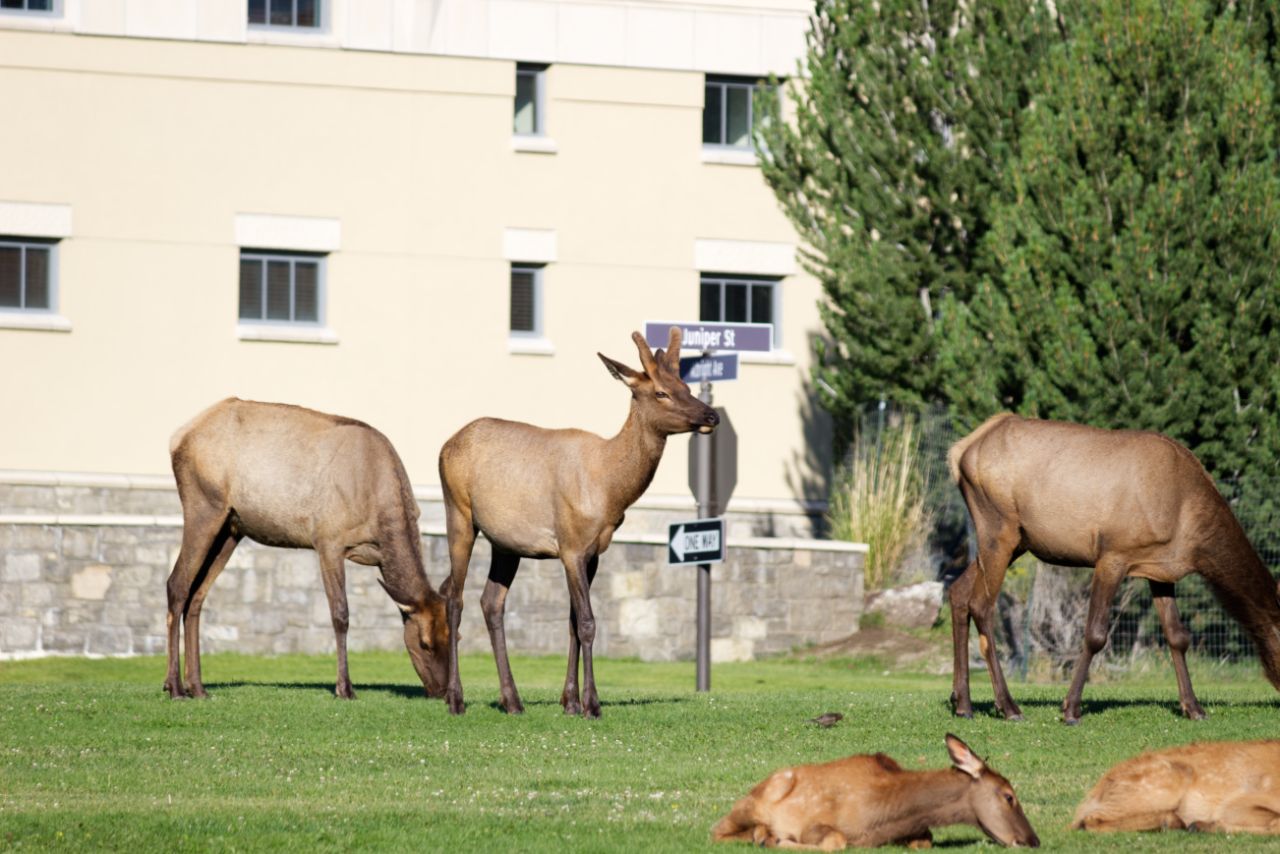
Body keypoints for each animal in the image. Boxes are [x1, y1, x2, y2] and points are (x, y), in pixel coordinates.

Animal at [163, 399, 450, 701]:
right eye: (424, 643)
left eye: (454, 637)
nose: (442, 691)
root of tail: (178, 437)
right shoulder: (328, 540)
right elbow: (340, 614)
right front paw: (344, 688)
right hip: (204, 505)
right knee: (176, 584)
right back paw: (175, 687)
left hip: (231, 528)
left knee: (196, 595)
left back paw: (197, 687)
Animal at [437, 325, 721, 717]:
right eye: (661, 392)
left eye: (687, 387)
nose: (712, 416)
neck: (610, 488)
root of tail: (445, 446)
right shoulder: (570, 544)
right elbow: (587, 622)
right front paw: (592, 704)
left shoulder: (594, 551)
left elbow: (572, 623)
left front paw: (570, 701)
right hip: (459, 512)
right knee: (454, 597)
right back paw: (456, 698)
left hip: (505, 543)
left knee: (490, 601)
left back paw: (512, 700)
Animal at [711, 737, 1039, 850]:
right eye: (1009, 796)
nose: (1032, 840)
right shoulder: (813, 823)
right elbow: (835, 841)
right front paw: (777, 840)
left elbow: (925, 841)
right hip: (755, 802)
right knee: (718, 830)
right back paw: (760, 834)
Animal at [947, 417, 1280, 727]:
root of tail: (960, 451)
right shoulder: (1113, 555)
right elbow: (1095, 634)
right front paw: (1070, 709)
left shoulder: (1159, 570)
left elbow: (1177, 636)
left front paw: (1194, 707)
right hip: (999, 528)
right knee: (981, 605)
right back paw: (1009, 707)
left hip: (1016, 540)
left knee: (958, 592)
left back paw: (962, 703)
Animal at [1070, 742, 1280, 834]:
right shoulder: (1237, 802)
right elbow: (1276, 824)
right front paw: (1206, 825)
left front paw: (1205, 825)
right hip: (1168, 781)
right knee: (1090, 820)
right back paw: (1173, 821)